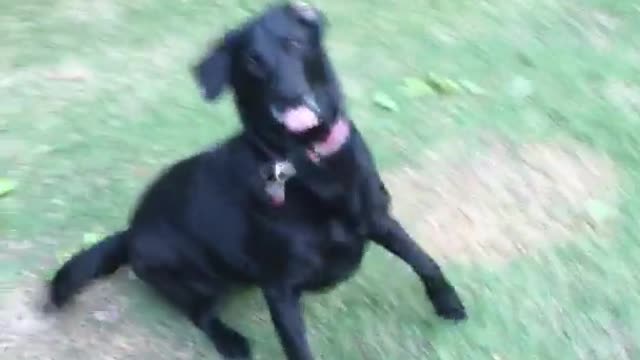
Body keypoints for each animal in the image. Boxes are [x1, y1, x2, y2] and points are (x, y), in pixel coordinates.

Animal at [48, 2, 464, 358]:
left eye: (294, 43)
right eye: (252, 61)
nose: (289, 97)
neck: (306, 161)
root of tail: (131, 231)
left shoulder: (378, 218)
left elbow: (424, 260)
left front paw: (448, 303)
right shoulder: (279, 288)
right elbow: (297, 348)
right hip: (192, 279)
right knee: (200, 314)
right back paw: (230, 341)